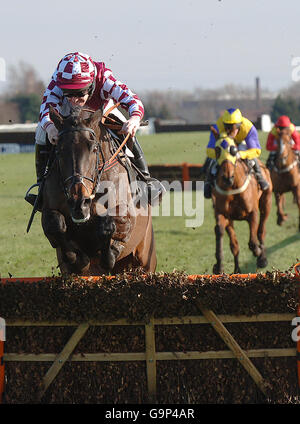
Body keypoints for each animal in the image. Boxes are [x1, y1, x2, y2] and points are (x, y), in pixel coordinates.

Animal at [40, 104, 157, 274]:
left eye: (94, 148)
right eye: (59, 150)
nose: (79, 202)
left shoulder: (126, 214)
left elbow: (110, 225)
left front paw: (110, 253)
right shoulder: (50, 210)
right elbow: (54, 224)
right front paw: (76, 257)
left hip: (144, 260)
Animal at [210, 136, 274, 274]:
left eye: (233, 150)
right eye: (217, 150)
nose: (227, 177)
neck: (233, 187)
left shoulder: (253, 213)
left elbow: (253, 241)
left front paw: (258, 252)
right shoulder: (223, 214)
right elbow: (223, 234)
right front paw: (220, 266)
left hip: (267, 202)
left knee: (261, 230)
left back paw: (262, 258)